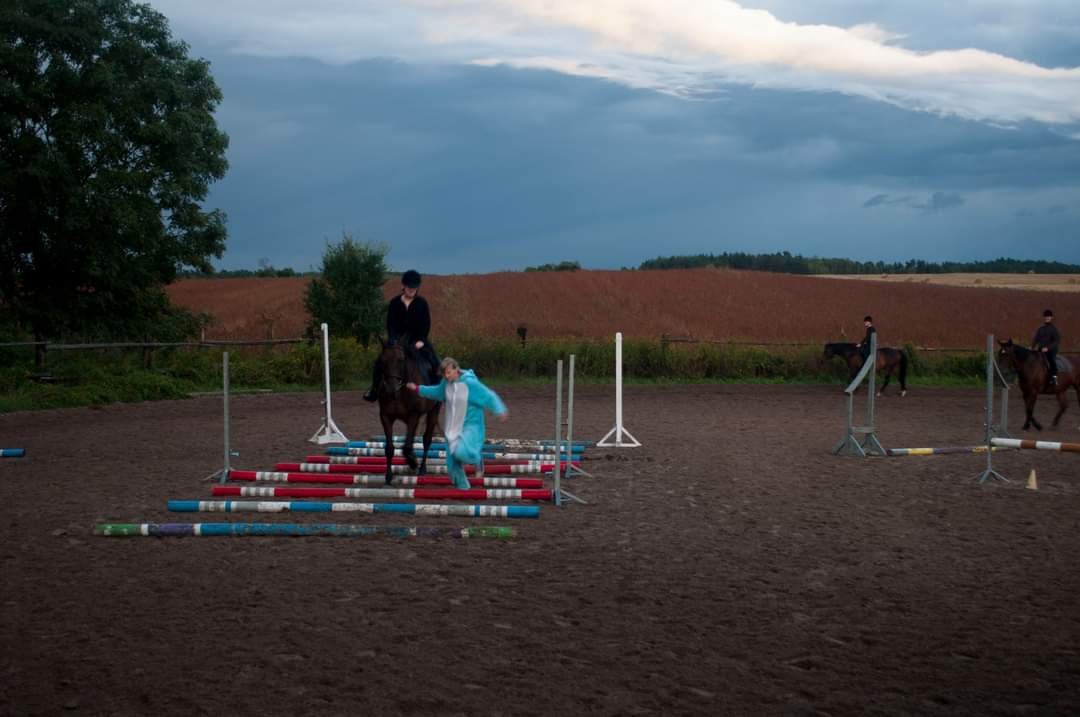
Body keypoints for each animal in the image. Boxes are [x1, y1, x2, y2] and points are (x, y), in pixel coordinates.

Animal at [375, 339, 441, 484]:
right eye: (382, 361)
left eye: (401, 360)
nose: (391, 389)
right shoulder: (385, 417)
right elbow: (390, 448)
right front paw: (388, 476)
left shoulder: (413, 416)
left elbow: (407, 447)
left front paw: (413, 463)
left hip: (433, 411)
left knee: (426, 439)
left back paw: (422, 468)